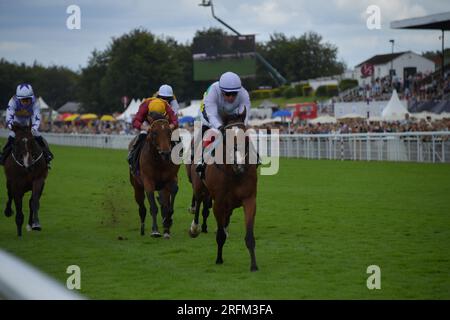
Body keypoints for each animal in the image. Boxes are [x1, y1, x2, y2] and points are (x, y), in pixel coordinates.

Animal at [203, 109, 258, 272]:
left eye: (246, 135)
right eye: (226, 137)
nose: (239, 163)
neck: (235, 174)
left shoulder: (250, 199)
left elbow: (249, 235)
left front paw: (254, 265)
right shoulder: (218, 203)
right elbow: (220, 235)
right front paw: (219, 259)